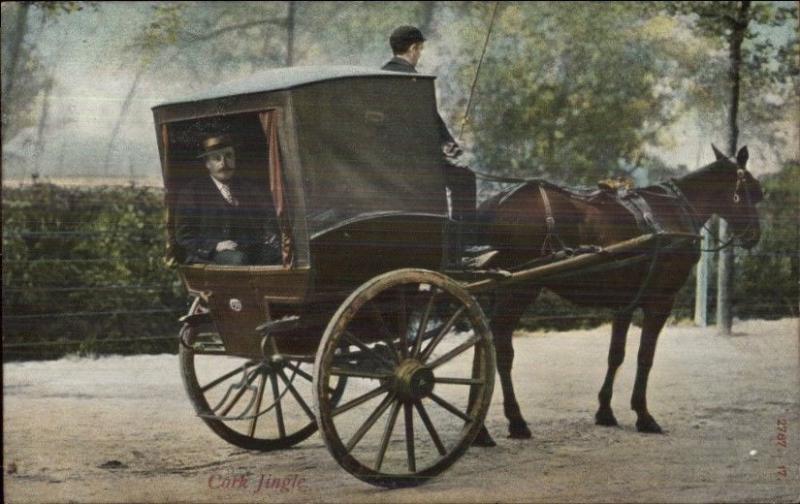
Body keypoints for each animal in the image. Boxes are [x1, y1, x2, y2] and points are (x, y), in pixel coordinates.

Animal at [472, 145, 764, 444]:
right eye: (753, 190)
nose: (754, 235)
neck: (673, 210)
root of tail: (494, 204)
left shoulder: (625, 303)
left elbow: (616, 355)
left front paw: (605, 411)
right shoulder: (661, 300)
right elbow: (645, 356)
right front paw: (643, 415)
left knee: (482, 343)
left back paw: (480, 428)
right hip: (518, 290)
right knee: (501, 348)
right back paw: (514, 421)